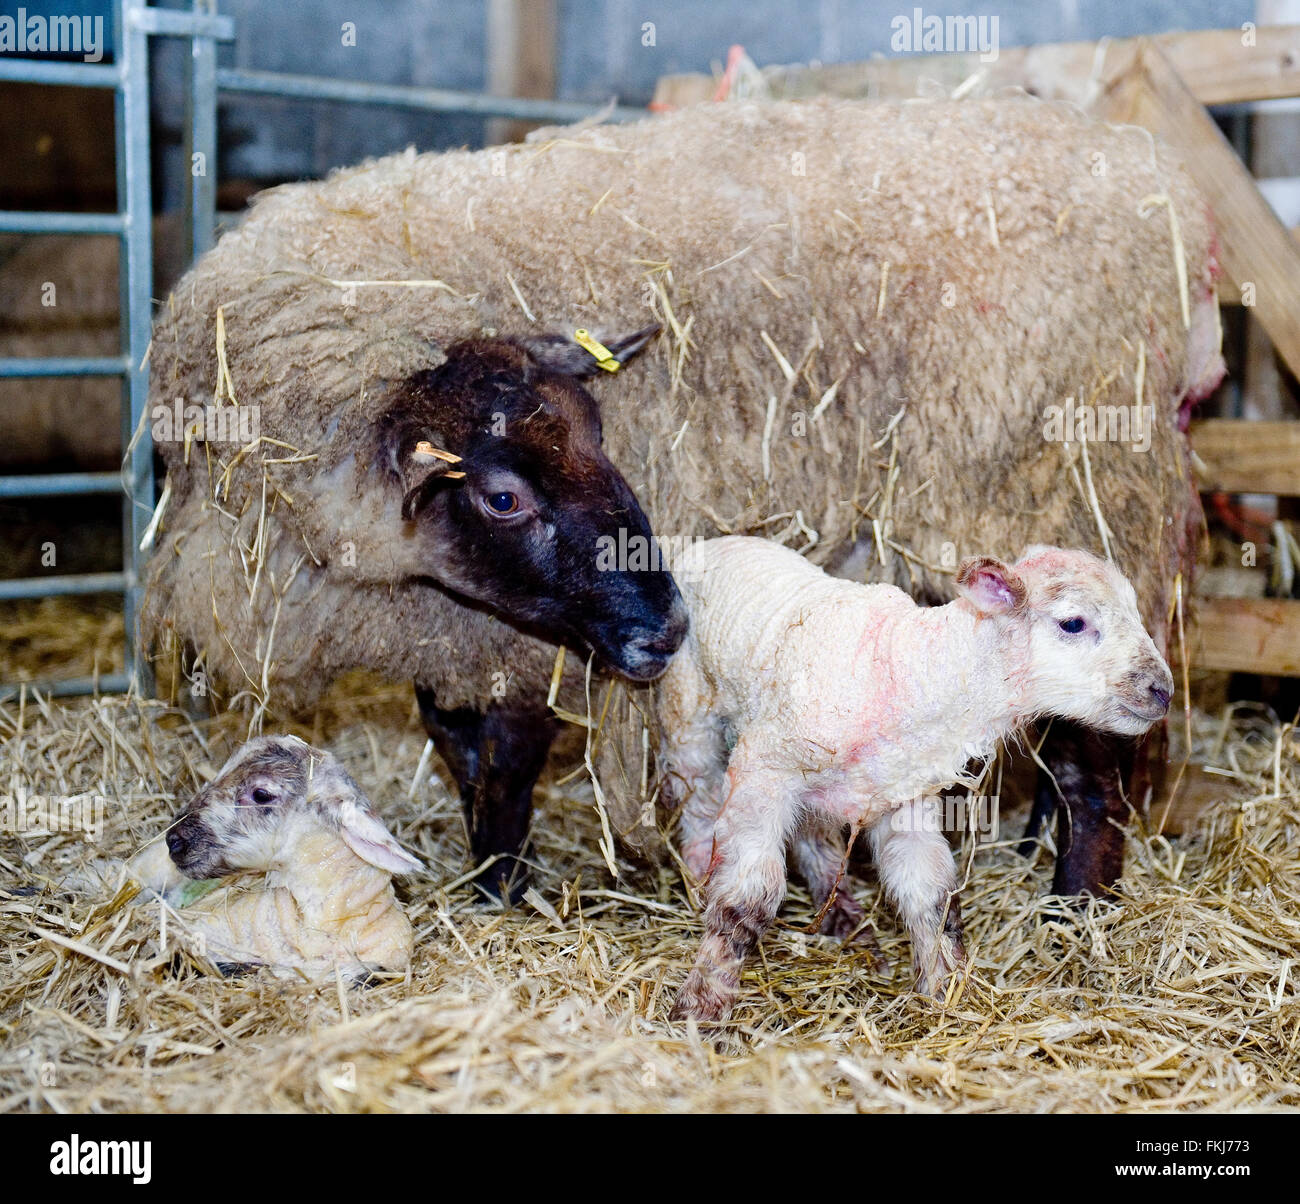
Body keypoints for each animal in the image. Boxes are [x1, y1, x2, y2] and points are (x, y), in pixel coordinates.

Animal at [147, 98, 1222, 899]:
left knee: (1092, 741)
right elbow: (460, 753)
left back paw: (1076, 902)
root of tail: (1156, 190)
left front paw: (502, 891)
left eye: (605, 435)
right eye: (501, 497)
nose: (670, 629)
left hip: (1066, 496)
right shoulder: (450, 634)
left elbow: (508, 763)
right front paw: (489, 874)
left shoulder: (523, 647)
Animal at [655, 540, 1175, 1024]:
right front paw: (702, 1003)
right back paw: (701, 880)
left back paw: (848, 923)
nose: (1162, 690)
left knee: (813, 839)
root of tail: (711, 543)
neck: (914, 671)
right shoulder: (763, 770)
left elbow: (930, 894)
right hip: (688, 711)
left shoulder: (902, 798)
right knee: (697, 801)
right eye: (1073, 623)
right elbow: (748, 898)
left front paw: (947, 989)